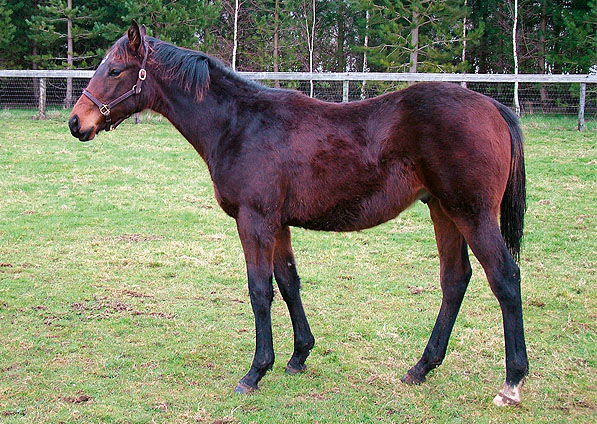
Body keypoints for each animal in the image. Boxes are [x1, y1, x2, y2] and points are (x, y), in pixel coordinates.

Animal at [68, 21, 528, 406]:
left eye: (114, 71)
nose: (76, 122)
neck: (239, 125)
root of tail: (494, 108)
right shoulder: (279, 224)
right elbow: (289, 283)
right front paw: (298, 356)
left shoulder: (254, 220)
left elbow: (260, 290)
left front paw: (255, 372)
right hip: (444, 212)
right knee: (455, 280)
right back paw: (421, 367)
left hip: (471, 213)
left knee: (504, 278)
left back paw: (511, 383)